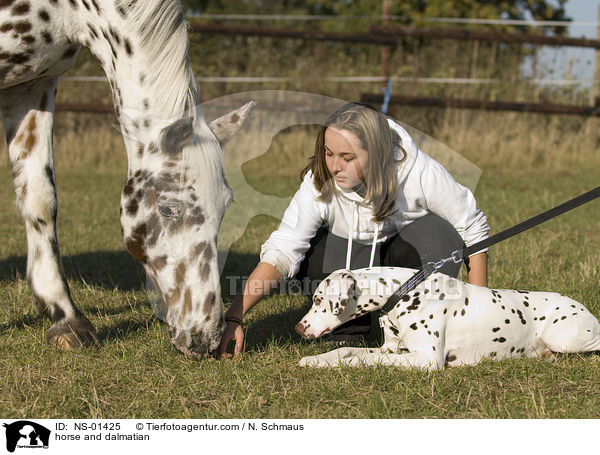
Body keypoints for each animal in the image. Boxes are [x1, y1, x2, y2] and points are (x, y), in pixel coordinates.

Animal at [0, 0, 255, 356]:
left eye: (226, 207)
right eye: (167, 209)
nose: (206, 337)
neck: (66, 10)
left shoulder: (33, 85)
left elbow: (40, 198)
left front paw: (64, 319)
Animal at [296, 268, 600, 370]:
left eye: (319, 299)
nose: (299, 328)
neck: (405, 292)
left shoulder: (425, 360)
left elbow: (360, 359)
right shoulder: (390, 349)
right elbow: (345, 350)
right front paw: (316, 360)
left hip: (562, 337)